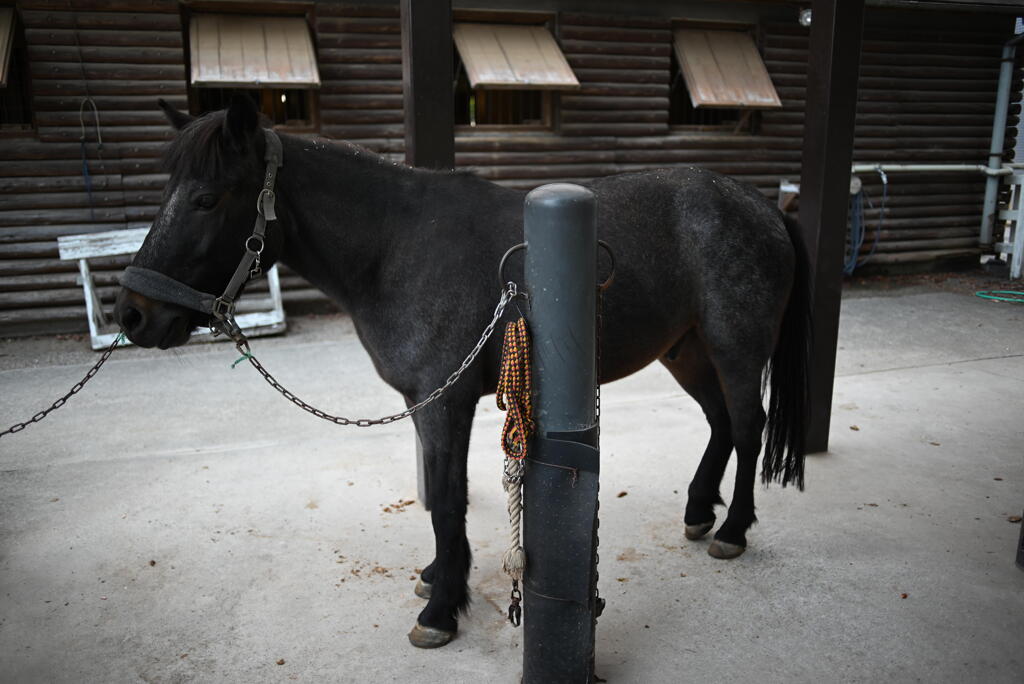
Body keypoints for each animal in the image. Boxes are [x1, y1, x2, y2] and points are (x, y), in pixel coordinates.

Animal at [116, 96, 811, 647]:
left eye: (206, 198)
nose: (134, 313)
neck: (395, 247)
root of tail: (762, 207)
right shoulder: (432, 405)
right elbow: (441, 496)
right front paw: (437, 578)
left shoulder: (443, 403)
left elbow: (448, 501)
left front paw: (442, 610)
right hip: (686, 350)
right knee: (720, 423)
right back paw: (698, 511)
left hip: (734, 349)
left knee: (747, 427)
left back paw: (732, 529)